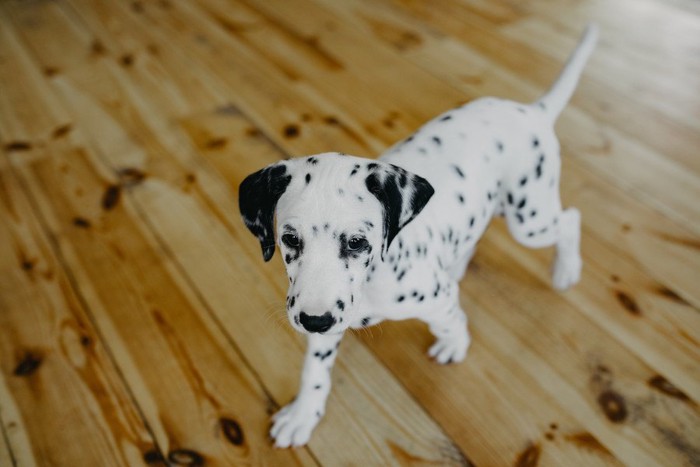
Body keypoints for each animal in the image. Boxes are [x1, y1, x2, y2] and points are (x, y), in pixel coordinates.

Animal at [239, 23, 596, 448]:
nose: (314, 321)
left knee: (571, 219)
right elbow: (315, 371)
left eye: (357, 242)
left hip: (530, 219)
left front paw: (454, 342)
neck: (375, 280)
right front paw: (302, 415)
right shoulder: (325, 317)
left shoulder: (432, 300)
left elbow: (450, 318)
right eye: (290, 240)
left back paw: (566, 269)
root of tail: (532, 111)